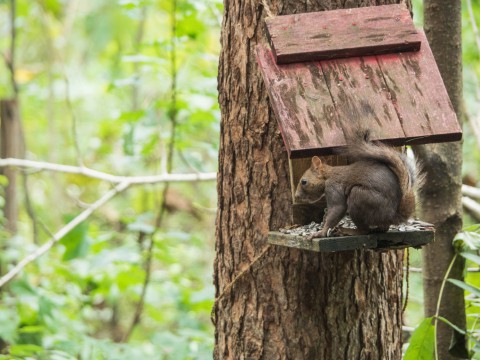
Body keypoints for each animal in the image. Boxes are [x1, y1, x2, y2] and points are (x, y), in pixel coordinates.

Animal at [294, 130, 422, 239]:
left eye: (304, 182)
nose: (297, 196)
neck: (328, 176)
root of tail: (393, 215)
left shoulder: (333, 186)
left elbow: (337, 208)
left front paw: (321, 232)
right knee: (383, 228)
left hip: (359, 197)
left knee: (364, 230)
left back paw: (348, 231)